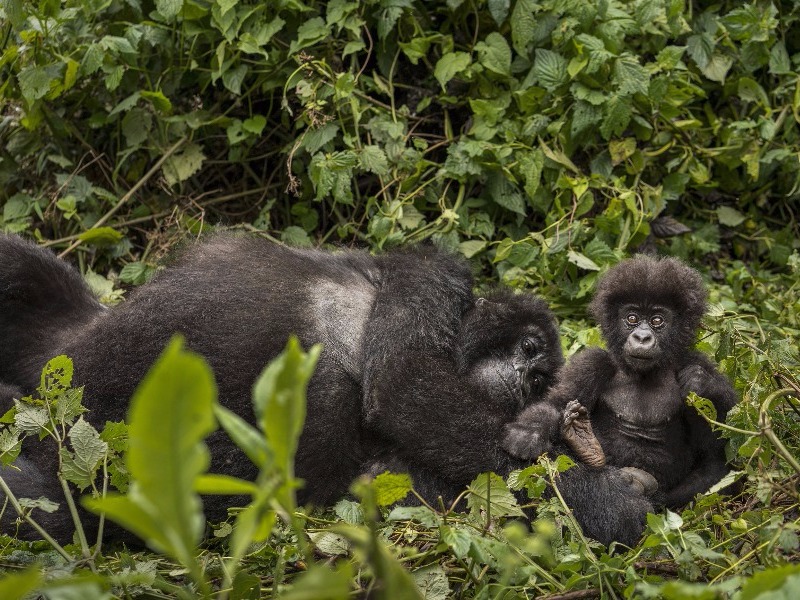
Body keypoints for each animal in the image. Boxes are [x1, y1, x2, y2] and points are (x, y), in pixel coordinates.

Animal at [506, 255, 736, 508]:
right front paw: (528, 432)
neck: (644, 373)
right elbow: (557, 403)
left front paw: (702, 382)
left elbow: (723, 441)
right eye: (632, 318)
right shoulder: (593, 363)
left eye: (657, 320)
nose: (642, 337)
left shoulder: (695, 360)